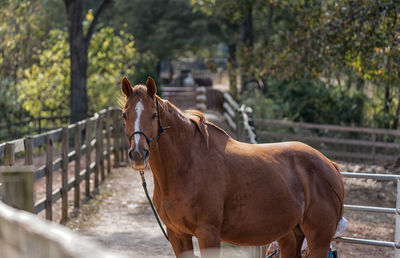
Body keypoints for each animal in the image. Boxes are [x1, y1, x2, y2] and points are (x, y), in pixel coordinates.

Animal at [120, 77, 346, 258]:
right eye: (124, 115)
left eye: (153, 115)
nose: (138, 154)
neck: (187, 166)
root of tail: (330, 165)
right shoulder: (177, 235)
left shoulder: (208, 234)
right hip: (289, 235)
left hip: (318, 240)